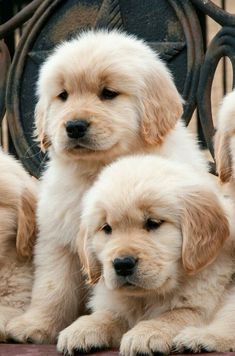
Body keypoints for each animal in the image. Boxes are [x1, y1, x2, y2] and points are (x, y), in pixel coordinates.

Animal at [5, 30, 207, 344]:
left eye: (108, 93)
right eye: (63, 95)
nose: (74, 126)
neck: (97, 169)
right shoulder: (58, 240)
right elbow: (52, 288)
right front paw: (36, 324)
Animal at [57, 156, 233, 356]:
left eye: (153, 223)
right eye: (107, 228)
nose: (122, 264)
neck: (147, 296)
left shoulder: (204, 302)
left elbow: (176, 314)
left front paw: (146, 332)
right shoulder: (121, 306)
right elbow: (109, 315)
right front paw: (82, 328)